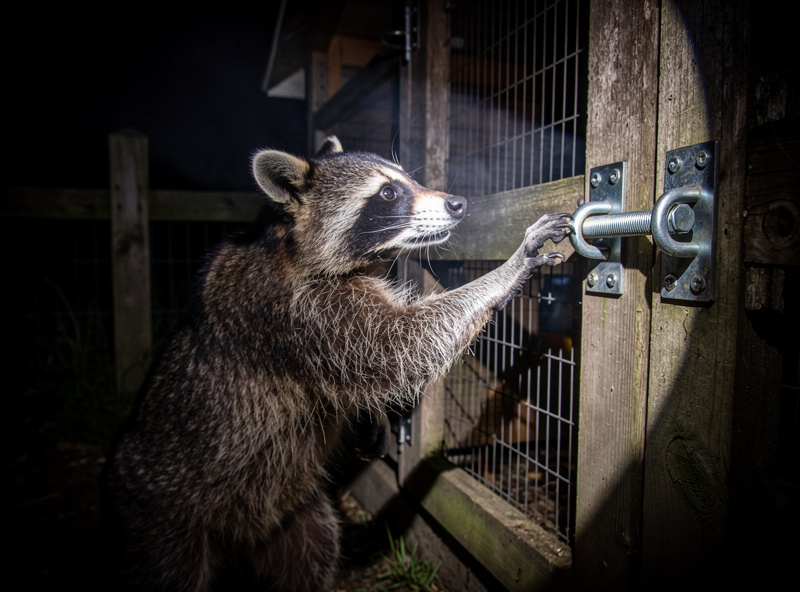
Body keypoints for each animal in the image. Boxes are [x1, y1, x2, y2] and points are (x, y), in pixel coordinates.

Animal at [103, 136, 571, 591]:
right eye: (388, 193)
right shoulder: (298, 312)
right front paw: (506, 271)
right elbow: (403, 343)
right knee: (173, 569)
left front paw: (371, 415)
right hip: (162, 523)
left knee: (314, 552)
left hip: (296, 515)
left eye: (407, 180)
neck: (291, 246)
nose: (458, 203)